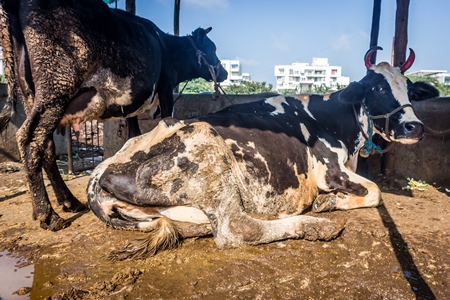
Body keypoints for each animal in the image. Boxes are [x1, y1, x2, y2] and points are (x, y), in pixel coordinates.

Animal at [0, 0, 227, 230]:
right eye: (212, 48)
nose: (225, 73)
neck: (166, 46)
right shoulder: (165, 87)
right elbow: (166, 118)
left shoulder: (130, 104)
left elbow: (133, 134)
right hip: (56, 86)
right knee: (29, 139)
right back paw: (48, 215)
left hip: (30, 95)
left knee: (45, 145)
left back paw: (69, 201)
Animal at [86, 47, 438, 260]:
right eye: (377, 88)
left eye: (409, 88)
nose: (415, 127)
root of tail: (100, 171)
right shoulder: (330, 170)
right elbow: (376, 191)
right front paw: (328, 202)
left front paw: (328, 202)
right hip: (206, 143)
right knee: (237, 229)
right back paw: (315, 225)